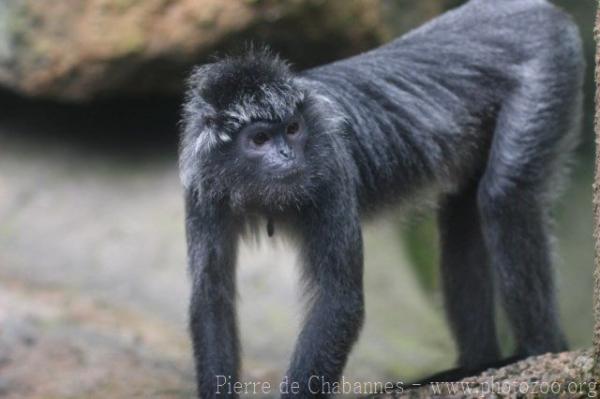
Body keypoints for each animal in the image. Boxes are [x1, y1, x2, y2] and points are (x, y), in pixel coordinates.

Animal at [177, 0, 580, 398]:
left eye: (292, 130)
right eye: (260, 139)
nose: (287, 155)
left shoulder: (330, 169)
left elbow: (339, 300)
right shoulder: (201, 190)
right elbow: (212, 297)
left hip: (546, 73)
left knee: (505, 194)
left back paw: (540, 350)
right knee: (462, 219)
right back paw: (476, 365)